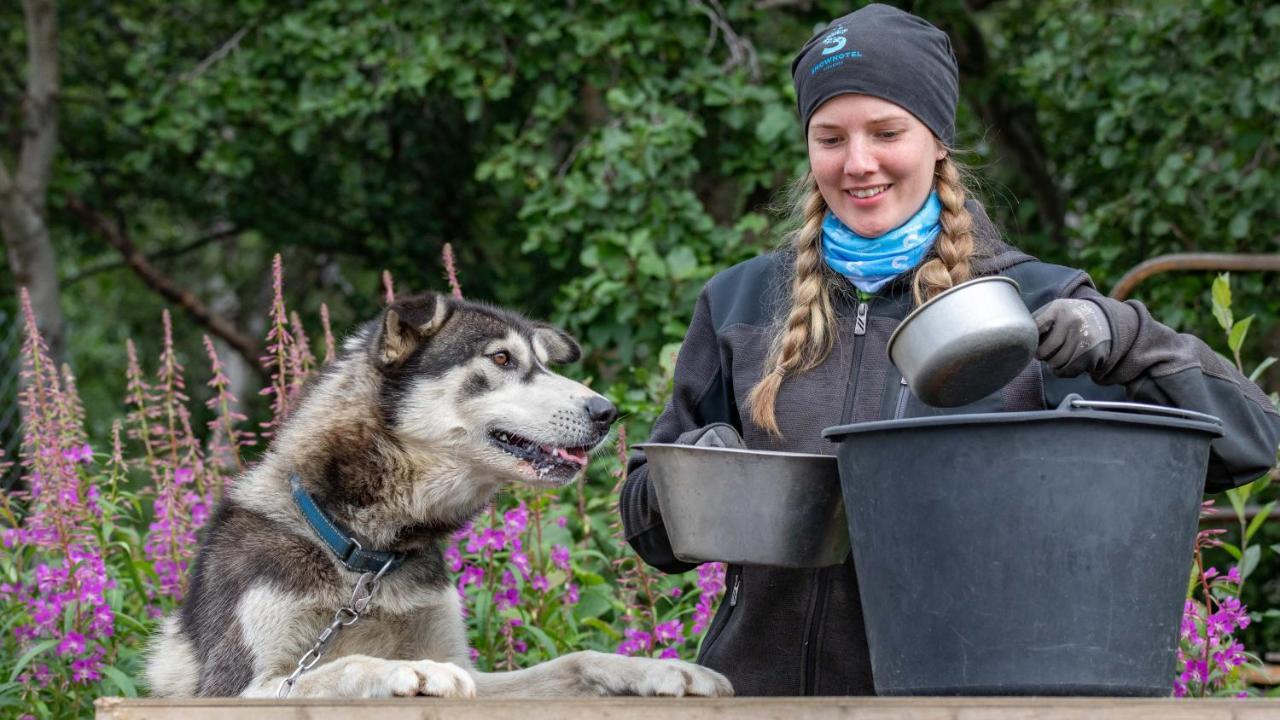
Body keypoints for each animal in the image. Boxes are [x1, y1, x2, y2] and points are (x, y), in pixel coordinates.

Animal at [142, 292, 732, 696]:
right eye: (501, 360)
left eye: (543, 364)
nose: (607, 412)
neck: (365, 555)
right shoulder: (241, 687)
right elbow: (341, 667)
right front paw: (408, 669)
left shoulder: (475, 674)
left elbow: (576, 661)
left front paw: (660, 668)